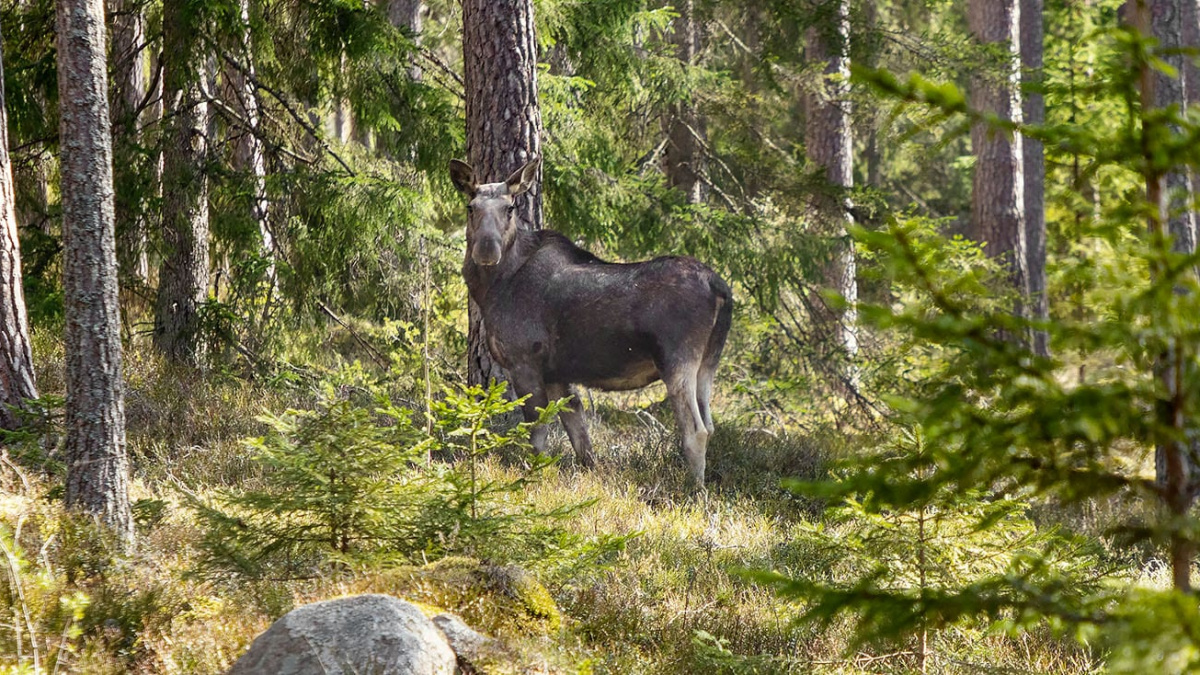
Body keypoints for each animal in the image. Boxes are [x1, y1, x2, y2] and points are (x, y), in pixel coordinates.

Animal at [451, 157, 729, 482]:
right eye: (471, 207)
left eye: (509, 208)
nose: (486, 250)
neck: (492, 288)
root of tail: (719, 288)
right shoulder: (557, 373)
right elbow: (579, 434)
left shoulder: (524, 362)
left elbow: (538, 434)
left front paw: (533, 477)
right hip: (708, 363)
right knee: (710, 425)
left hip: (678, 361)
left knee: (695, 431)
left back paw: (694, 489)